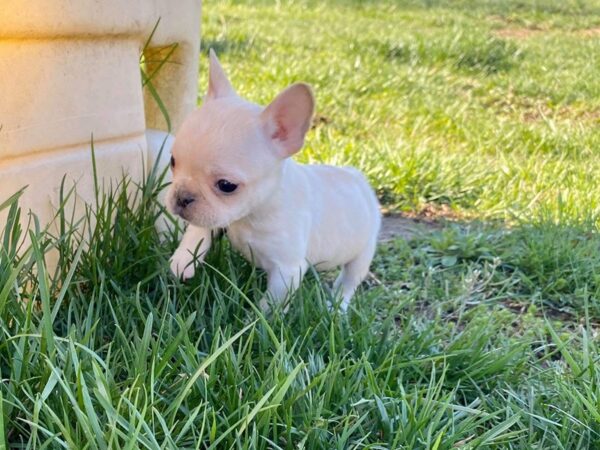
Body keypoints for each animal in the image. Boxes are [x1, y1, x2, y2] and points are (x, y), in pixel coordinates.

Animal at [168, 49, 380, 310]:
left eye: (227, 186)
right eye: (173, 162)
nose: (181, 197)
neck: (251, 215)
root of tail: (356, 176)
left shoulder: (286, 271)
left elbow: (271, 305)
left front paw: (254, 318)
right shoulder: (217, 218)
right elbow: (198, 231)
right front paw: (182, 261)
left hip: (363, 254)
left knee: (348, 283)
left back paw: (336, 308)